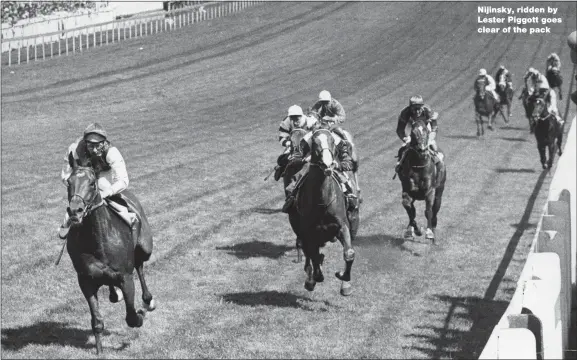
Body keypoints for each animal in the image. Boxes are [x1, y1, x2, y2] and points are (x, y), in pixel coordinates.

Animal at [64, 164, 155, 354]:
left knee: (140, 265)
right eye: (68, 182)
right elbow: (97, 321)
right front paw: (100, 351)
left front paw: (140, 315)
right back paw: (115, 294)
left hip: (145, 247)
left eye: (92, 183)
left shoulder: (126, 278)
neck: (97, 238)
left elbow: (131, 317)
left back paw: (148, 301)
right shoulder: (86, 281)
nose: (75, 211)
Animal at [288, 129, 360, 296]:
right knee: (307, 251)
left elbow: (349, 253)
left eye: (332, 142)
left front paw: (344, 279)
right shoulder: (309, 232)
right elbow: (312, 255)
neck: (322, 201)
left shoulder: (342, 226)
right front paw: (314, 278)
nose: (328, 163)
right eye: (315, 143)